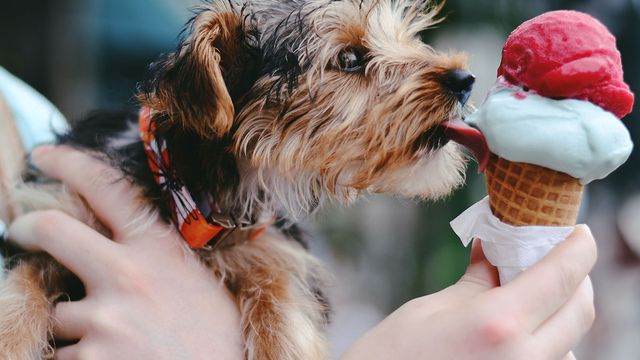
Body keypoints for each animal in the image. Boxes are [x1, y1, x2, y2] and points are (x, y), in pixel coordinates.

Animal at [0, 1, 470, 358]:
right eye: (350, 59)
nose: (465, 79)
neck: (188, 192)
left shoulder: (274, 251)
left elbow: (282, 302)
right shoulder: (51, 213)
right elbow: (20, 285)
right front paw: (11, 342)